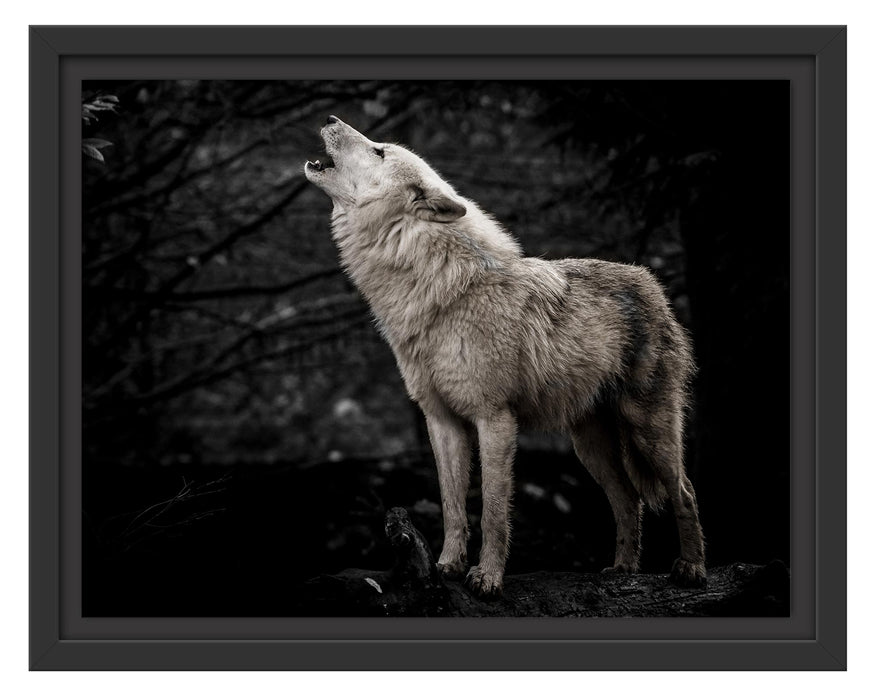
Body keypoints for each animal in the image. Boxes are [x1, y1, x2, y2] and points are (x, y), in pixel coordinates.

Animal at [305, 115, 706, 597]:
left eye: (379, 150)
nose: (330, 119)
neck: (439, 292)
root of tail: (650, 282)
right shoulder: (441, 421)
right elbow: (453, 507)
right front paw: (447, 566)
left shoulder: (494, 419)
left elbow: (494, 511)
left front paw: (488, 578)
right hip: (589, 446)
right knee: (628, 499)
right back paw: (623, 569)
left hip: (649, 431)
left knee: (684, 491)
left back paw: (692, 569)